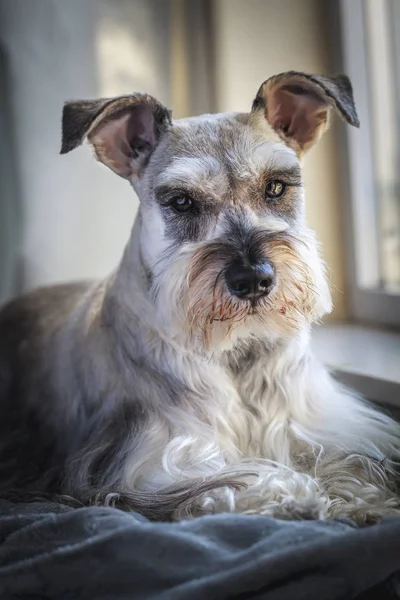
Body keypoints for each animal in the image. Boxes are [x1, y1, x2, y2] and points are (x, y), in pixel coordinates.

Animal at [0, 69, 400, 524]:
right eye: (181, 201)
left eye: (275, 187)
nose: (253, 279)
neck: (237, 352)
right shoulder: (158, 457)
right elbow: (232, 481)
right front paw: (293, 496)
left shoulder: (324, 422)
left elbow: (351, 457)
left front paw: (364, 498)